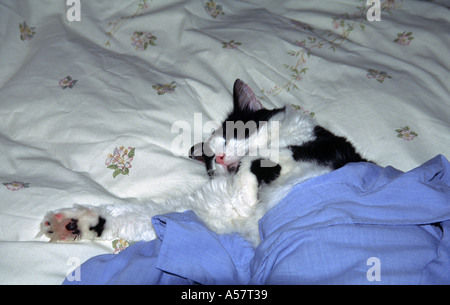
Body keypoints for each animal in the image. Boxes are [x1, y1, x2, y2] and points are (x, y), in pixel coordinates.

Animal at [37, 79, 370, 245]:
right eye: (210, 160)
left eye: (233, 133)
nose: (220, 157)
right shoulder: (212, 213)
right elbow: (137, 216)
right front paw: (73, 224)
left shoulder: (325, 152)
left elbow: (258, 160)